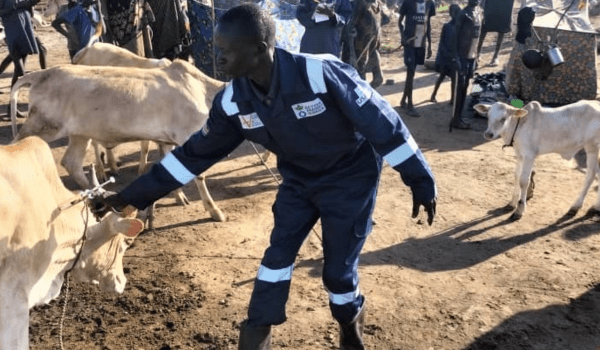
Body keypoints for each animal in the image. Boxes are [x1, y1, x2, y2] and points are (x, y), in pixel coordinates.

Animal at [10, 59, 226, 221]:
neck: (203, 90)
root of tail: (40, 74)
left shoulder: (167, 141)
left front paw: (180, 197)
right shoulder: (187, 134)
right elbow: (198, 175)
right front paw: (215, 211)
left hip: (80, 134)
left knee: (71, 162)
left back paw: (96, 194)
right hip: (41, 127)